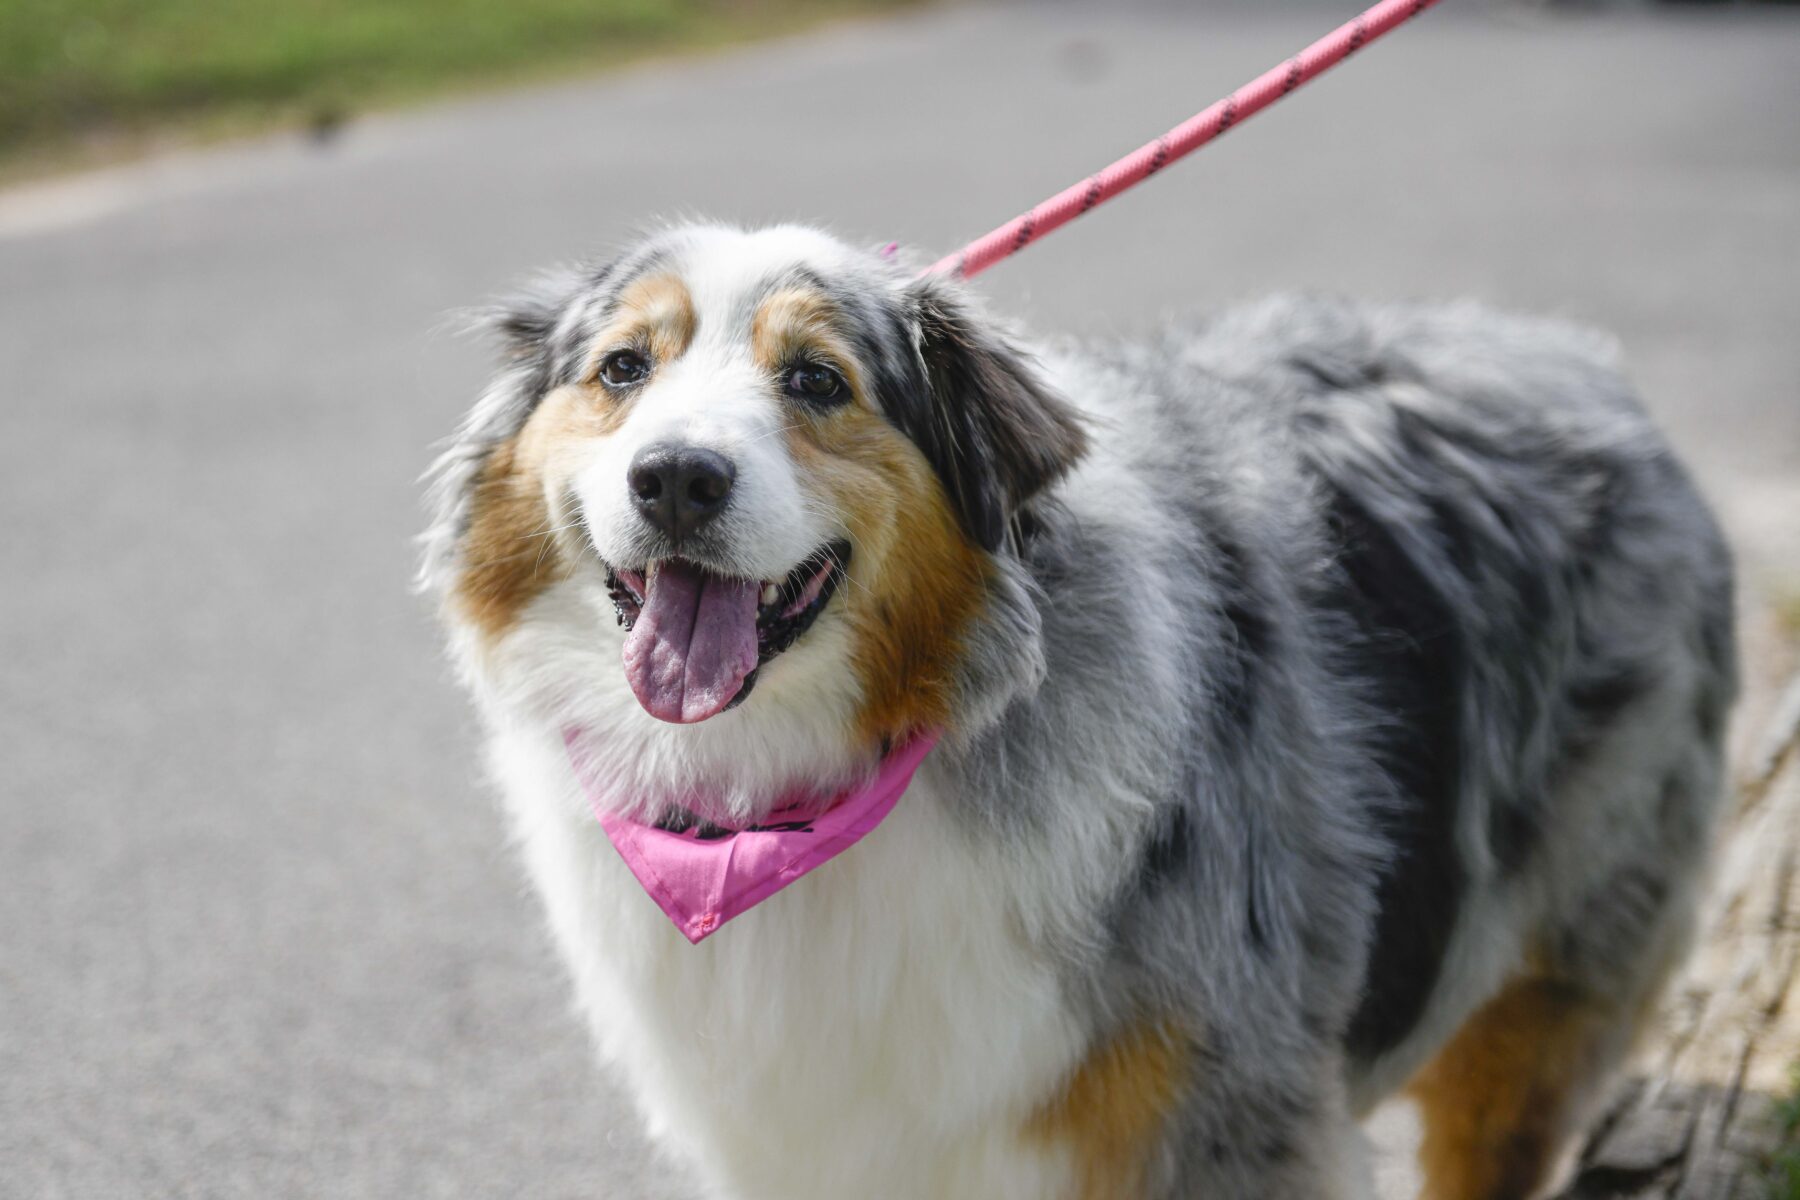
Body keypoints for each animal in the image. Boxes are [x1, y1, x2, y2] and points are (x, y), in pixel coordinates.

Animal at [420, 223, 1735, 1200]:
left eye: (817, 380)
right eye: (622, 370)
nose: (678, 479)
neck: (784, 785)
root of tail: (1574, 356)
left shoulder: (1215, 1116)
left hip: (1551, 978)